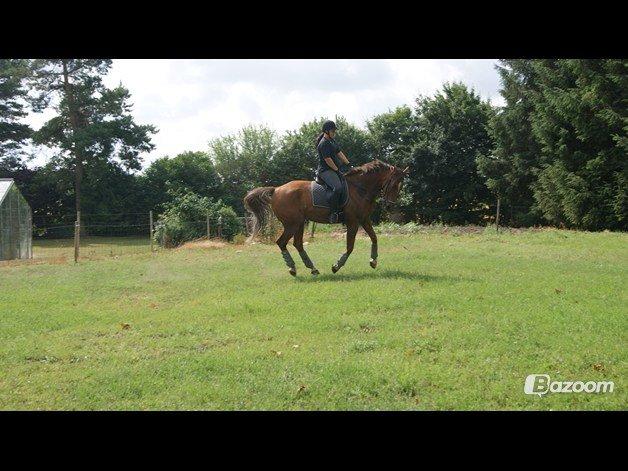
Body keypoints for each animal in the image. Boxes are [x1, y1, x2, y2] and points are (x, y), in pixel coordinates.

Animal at [243, 159, 410, 276]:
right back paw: (292, 268)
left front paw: (373, 261)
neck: (360, 189)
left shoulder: (364, 219)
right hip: (292, 224)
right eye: (393, 184)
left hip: (299, 223)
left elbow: (374, 238)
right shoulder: (353, 222)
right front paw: (336, 266)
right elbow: (350, 247)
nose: (390, 207)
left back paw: (313, 269)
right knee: (282, 242)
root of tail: (276, 190)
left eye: (401, 185)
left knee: (298, 244)